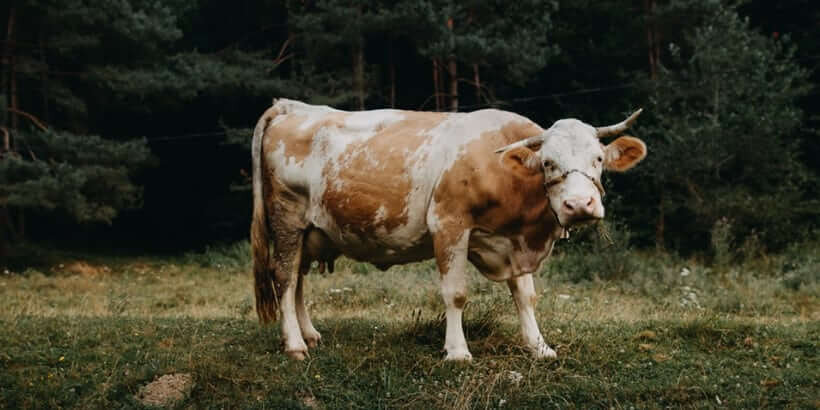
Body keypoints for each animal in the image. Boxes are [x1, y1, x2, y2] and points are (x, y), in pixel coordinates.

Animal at [251, 99, 647, 361]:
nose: (579, 205)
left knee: (298, 280)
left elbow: (525, 295)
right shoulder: (449, 223)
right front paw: (457, 352)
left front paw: (539, 346)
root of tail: (291, 106)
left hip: (309, 232)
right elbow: (455, 294)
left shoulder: (512, 239)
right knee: (284, 277)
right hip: (287, 218)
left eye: (598, 158)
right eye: (548, 163)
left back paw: (309, 334)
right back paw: (294, 344)